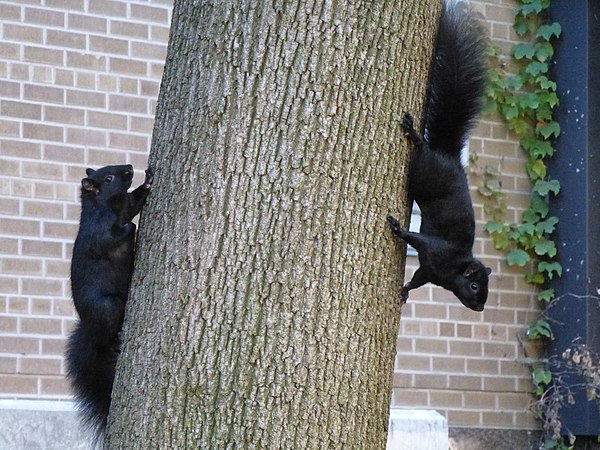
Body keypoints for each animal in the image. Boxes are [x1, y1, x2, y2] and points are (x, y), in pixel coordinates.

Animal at [64, 164, 154, 440]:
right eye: (109, 178)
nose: (129, 168)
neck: (110, 207)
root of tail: (91, 331)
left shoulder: (126, 205)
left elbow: (135, 203)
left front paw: (148, 181)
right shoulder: (98, 235)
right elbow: (114, 237)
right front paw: (130, 229)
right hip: (107, 308)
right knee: (108, 336)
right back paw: (116, 341)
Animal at [390, 1, 492, 312]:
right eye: (474, 286)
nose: (480, 307)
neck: (454, 269)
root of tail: (449, 156)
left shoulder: (429, 271)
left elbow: (418, 279)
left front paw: (405, 290)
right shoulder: (436, 250)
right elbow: (416, 239)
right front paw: (398, 230)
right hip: (424, 174)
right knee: (422, 152)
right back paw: (415, 136)